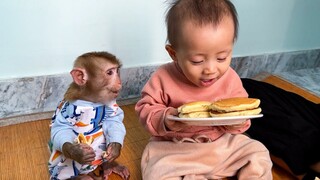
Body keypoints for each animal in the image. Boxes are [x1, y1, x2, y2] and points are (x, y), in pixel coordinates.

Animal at [48, 51, 130, 179]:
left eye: (117, 71)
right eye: (110, 72)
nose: (119, 81)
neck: (90, 100)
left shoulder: (111, 102)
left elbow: (114, 120)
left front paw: (115, 148)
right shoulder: (68, 108)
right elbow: (60, 129)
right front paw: (78, 153)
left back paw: (109, 166)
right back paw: (80, 176)